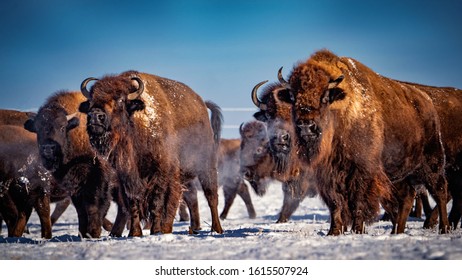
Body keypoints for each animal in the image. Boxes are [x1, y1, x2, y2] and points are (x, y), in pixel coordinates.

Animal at [23, 91, 124, 237]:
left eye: (62, 127)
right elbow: (80, 210)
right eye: (38, 129)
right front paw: (82, 233)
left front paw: (93, 232)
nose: (48, 148)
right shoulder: (73, 185)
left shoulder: (99, 179)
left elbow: (94, 205)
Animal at [78, 70, 224, 236]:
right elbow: (133, 203)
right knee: (191, 198)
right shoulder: (126, 176)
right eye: (91, 100)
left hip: (206, 165)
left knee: (211, 197)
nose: (95, 116)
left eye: (121, 100)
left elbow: (157, 202)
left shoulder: (161, 172)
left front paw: (156, 231)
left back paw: (216, 229)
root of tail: (202, 105)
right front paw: (135, 233)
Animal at [284, 49, 450, 235]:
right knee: (407, 198)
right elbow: (335, 204)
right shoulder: (327, 176)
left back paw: (444, 228)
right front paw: (334, 231)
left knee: (440, 191)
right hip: (401, 173)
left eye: (325, 97)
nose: (306, 125)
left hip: (432, 163)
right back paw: (396, 231)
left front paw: (357, 230)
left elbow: (358, 202)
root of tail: (427, 101)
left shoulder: (362, 171)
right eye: (292, 97)